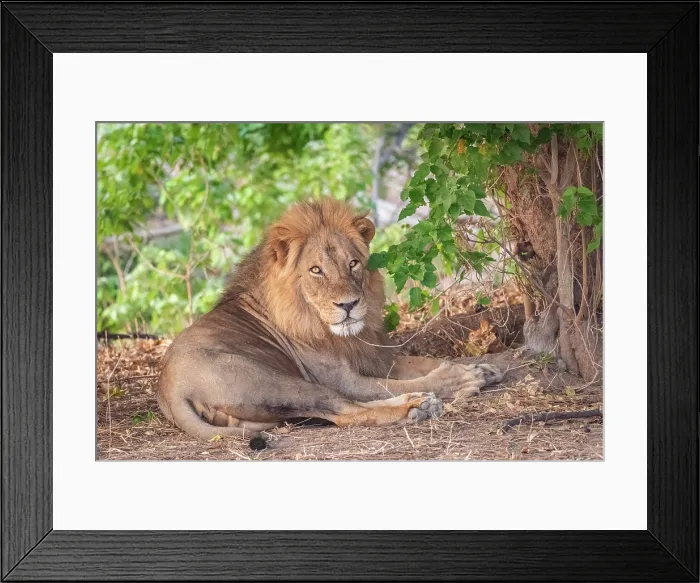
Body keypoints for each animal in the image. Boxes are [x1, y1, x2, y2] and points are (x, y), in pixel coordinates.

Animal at [157, 198, 503, 448]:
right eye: (316, 270)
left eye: (353, 263)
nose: (348, 305)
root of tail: (170, 390)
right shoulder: (346, 379)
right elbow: (401, 384)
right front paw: (462, 379)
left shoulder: (375, 357)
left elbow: (423, 362)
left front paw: (482, 368)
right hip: (278, 382)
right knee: (345, 411)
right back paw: (417, 407)